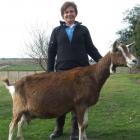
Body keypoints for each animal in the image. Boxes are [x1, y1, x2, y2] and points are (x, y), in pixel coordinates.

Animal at [3, 40, 138, 140]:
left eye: (128, 49)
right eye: (118, 51)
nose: (135, 60)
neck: (92, 76)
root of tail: (14, 85)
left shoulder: (86, 105)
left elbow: (85, 124)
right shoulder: (80, 104)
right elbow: (81, 125)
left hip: (25, 110)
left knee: (20, 123)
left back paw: (21, 137)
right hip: (17, 108)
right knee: (11, 125)